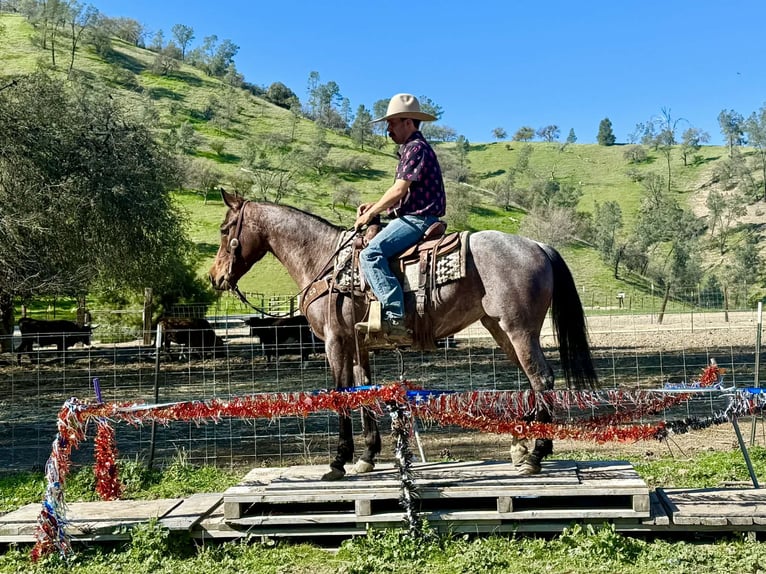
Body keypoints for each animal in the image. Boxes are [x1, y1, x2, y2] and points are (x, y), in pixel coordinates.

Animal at [209, 189, 597, 480]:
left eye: (225, 230)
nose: (215, 277)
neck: (326, 262)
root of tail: (538, 245)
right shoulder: (358, 345)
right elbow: (363, 391)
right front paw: (366, 457)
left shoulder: (335, 341)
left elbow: (340, 394)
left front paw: (338, 461)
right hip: (500, 329)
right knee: (533, 381)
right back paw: (521, 443)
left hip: (519, 329)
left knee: (541, 379)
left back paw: (536, 454)